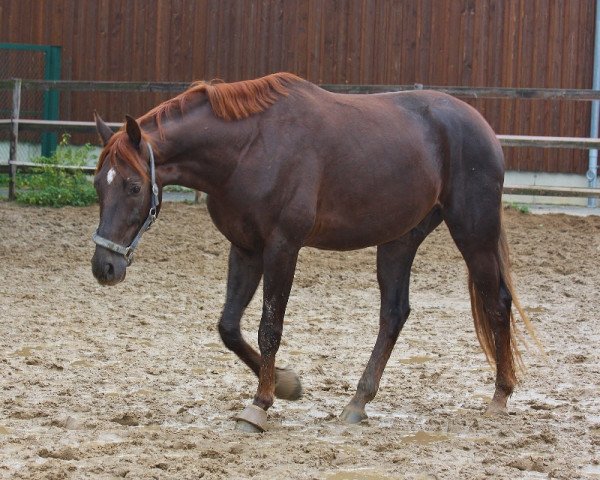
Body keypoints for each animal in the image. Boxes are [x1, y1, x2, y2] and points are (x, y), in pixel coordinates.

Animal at [91, 73, 536, 434]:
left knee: (497, 303)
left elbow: (269, 328)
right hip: (399, 240)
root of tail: (479, 125)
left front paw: (260, 405)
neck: (250, 146)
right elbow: (229, 326)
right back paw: (358, 402)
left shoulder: (282, 247)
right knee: (394, 314)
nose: (104, 267)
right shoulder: (246, 247)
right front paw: (288, 385)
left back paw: (500, 396)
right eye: (98, 184)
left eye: (133, 186)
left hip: (473, 231)